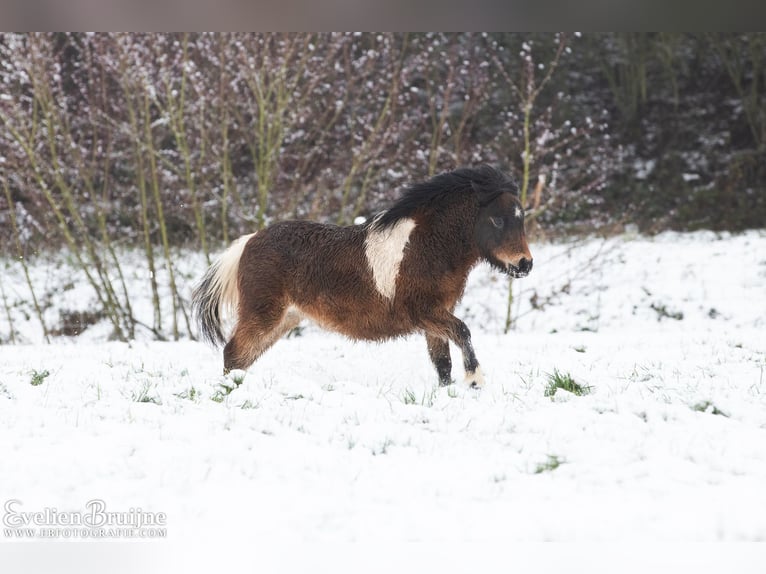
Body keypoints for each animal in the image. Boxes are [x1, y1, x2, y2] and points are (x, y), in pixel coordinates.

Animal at [192, 165, 533, 388]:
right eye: (497, 220)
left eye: (521, 217)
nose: (525, 264)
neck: (426, 245)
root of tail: (248, 241)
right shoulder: (425, 312)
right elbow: (463, 332)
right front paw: (475, 380)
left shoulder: (435, 316)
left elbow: (443, 363)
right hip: (263, 315)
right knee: (232, 352)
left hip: (283, 320)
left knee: (242, 358)